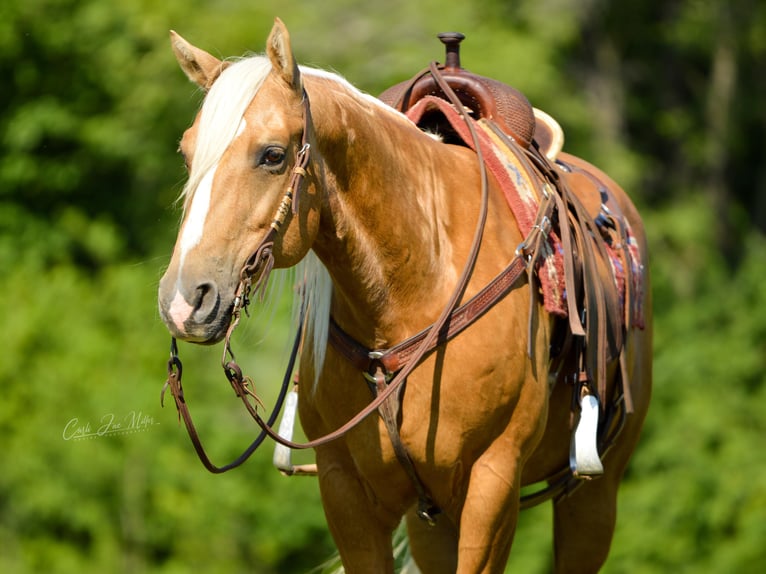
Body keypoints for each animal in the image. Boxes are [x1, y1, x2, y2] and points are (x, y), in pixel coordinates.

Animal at [159, 18, 652, 574]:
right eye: (187, 153)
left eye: (273, 155)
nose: (184, 300)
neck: (416, 282)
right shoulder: (347, 489)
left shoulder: (493, 482)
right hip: (431, 520)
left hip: (593, 497)